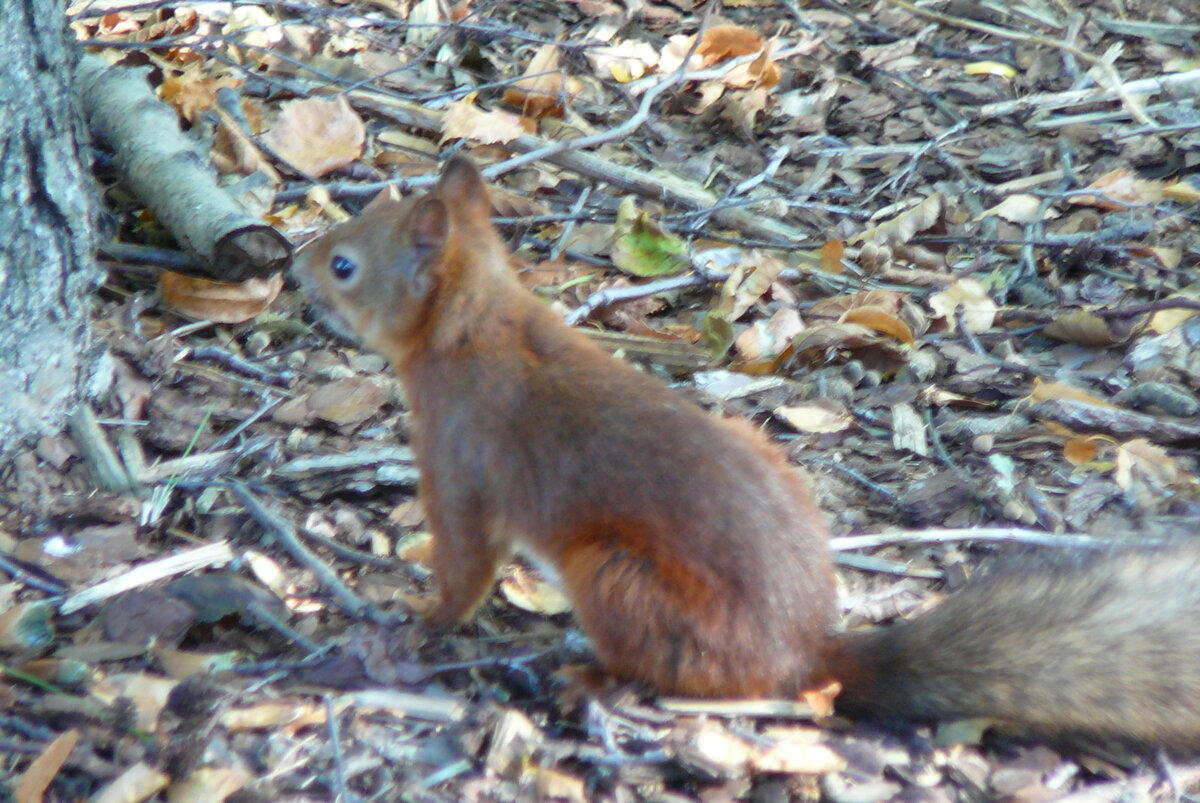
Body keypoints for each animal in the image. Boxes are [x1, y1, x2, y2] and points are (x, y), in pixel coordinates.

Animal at [292, 154, 1200, 744]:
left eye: (345, 264)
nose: (294, 261)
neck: (474, 325)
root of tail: (805, 653)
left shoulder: (460, 461)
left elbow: (464, 564)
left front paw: (417, 615)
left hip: (615, 576)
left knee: (665, 673)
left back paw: (592, 677)